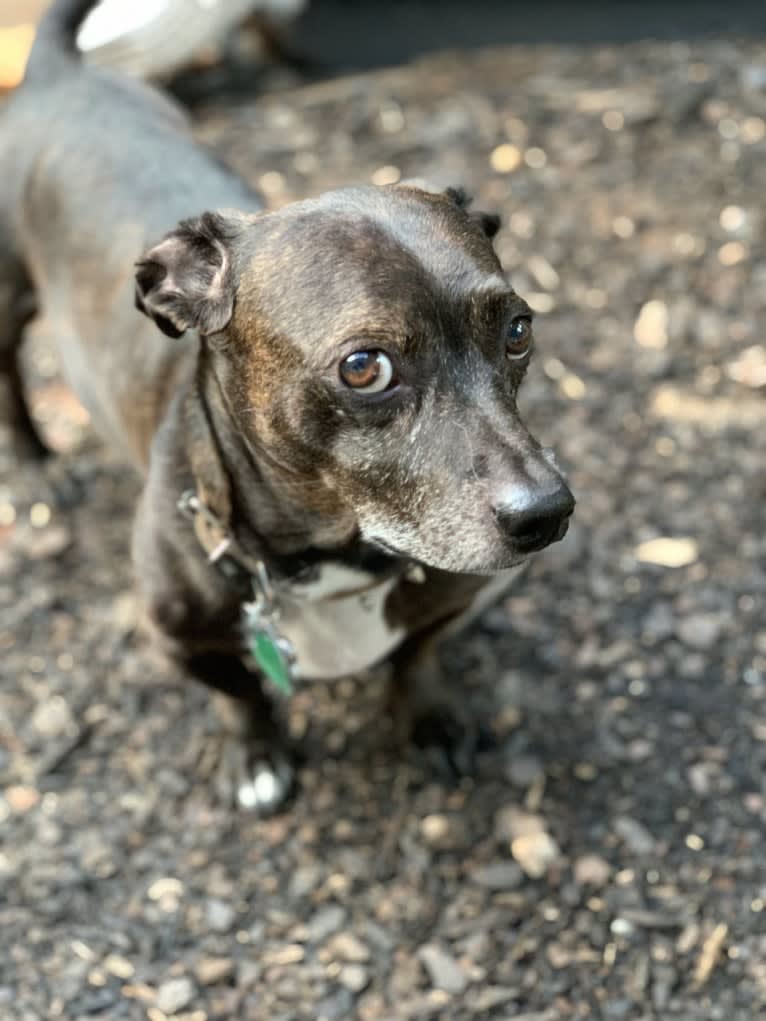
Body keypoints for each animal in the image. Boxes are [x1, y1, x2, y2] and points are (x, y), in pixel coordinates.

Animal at [1, 1, 576, 812]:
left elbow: (417, 657)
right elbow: (240, 693)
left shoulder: (450, 602)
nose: (548, 513)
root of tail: (59, 72)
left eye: (518, 330)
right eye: (365, 368)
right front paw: (255, 754)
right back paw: (34, 464)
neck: (335, 556)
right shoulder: (182, 642)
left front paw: (428, 716)